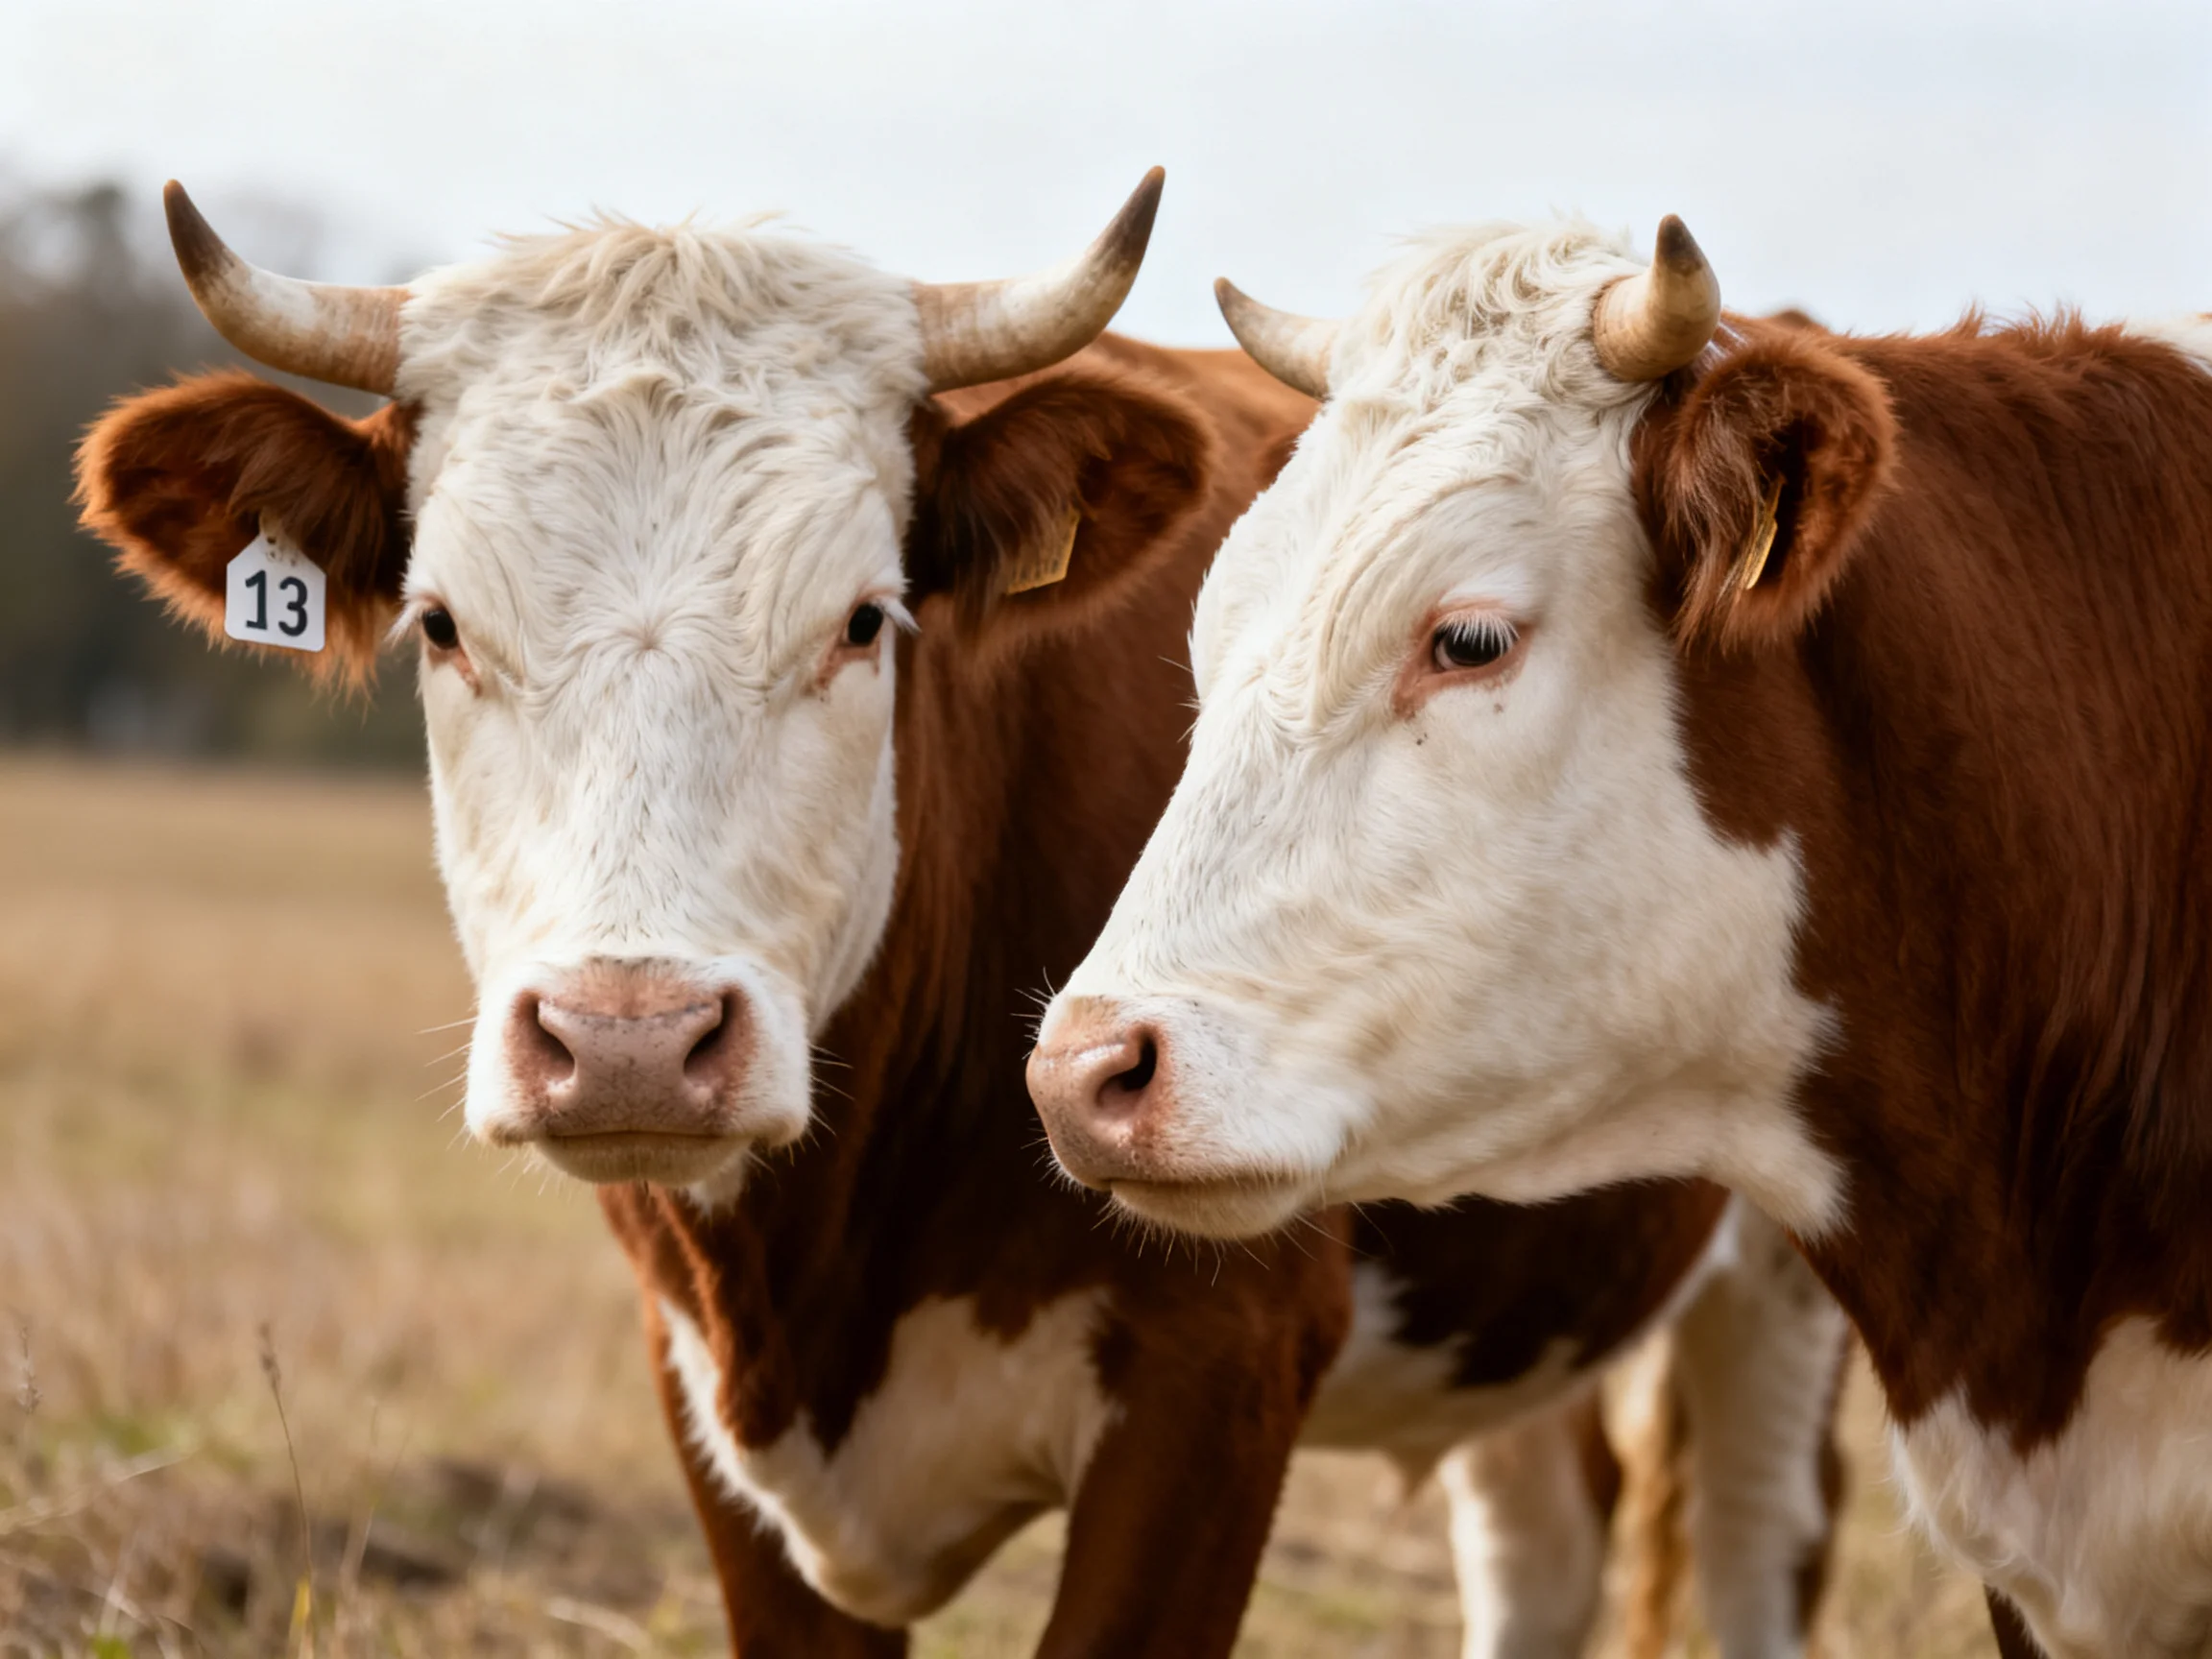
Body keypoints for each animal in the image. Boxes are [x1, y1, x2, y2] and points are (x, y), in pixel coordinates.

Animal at [77, 181, 1847, 1658]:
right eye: (442, 626)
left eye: (864, 621)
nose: (633, 1042)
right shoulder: (712, 1413)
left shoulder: (1215, 1380)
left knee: (1756, 1545)